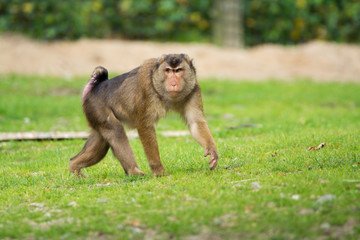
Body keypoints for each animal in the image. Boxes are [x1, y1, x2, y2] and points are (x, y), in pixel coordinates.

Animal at [69, 54, 218, 178]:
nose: (173, 83)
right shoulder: (147, 88)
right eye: (168, 70)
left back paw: (74, 166)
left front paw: (211, 149)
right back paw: (133, 171)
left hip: (93, 113)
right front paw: (159, 171)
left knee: (102, 140)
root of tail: (94, 89)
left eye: (179, 70)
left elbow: (196, 122)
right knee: (116, 131)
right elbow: (144, 126)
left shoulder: (194, 88)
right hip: (96, 107)